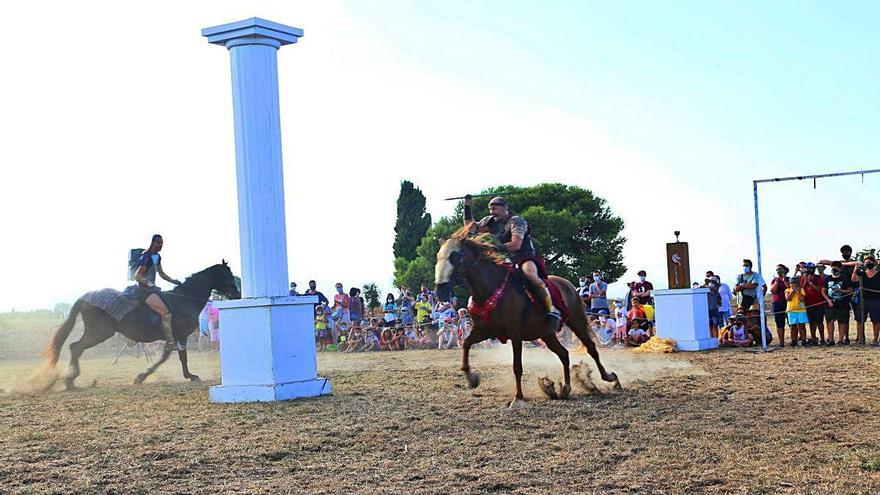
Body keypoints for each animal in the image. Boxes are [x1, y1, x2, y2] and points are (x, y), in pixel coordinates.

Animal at [45, 262, 241, 390]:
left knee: (75, 347)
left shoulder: (171, 338)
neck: (184, 299)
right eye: (227, 275)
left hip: (96, 332)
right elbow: (182, 357)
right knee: (76, 347)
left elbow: (164, 357)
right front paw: (191, 376)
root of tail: (86, 297)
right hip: (100, 332)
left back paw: (70, 380)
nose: (237, 294)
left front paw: (142, 376)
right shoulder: (180, 335)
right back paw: (70, 380)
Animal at [434, 231, 620, 408]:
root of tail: (568, 285)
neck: (491, 289)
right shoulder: (484, 330)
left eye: (455, 256)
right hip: (547, 334)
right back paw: (565, 388)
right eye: (439, 257)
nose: (440, 291)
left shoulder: (515, 334)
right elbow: (466, 344)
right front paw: (472, 378)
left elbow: (517, 366)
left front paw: (518, 398)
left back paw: (609, 378)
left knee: (591, 348)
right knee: (564, 354)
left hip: (576, 320)